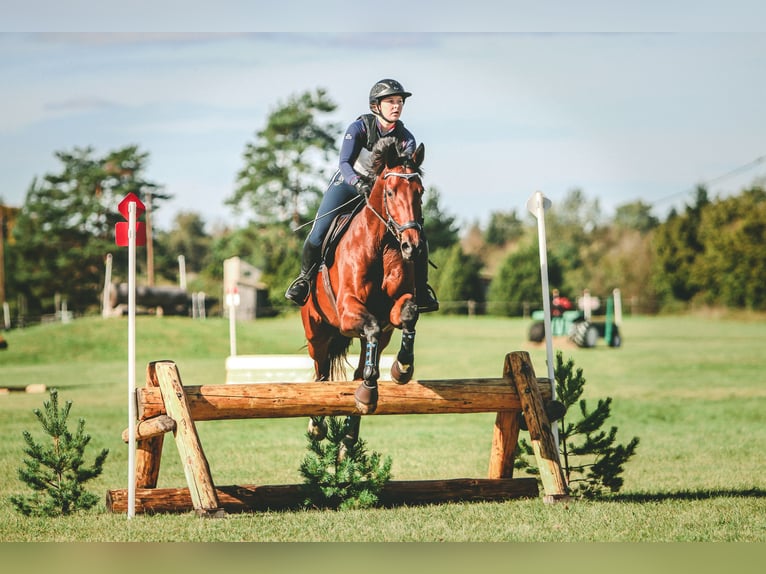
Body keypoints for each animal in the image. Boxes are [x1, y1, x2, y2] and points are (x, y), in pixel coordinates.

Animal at [304, 137, 428, 448]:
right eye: (391, 192)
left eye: (420, 192)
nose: (412, 246)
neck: (381, 243)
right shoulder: (349, 310)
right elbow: (369, 324)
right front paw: (373, 387)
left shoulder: (391, 315)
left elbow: (408, 314)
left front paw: (401, 369)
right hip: (316, 332)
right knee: (321, 373)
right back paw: (317, 425)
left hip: (377, 338)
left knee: (358, 369)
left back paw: (349, 437)